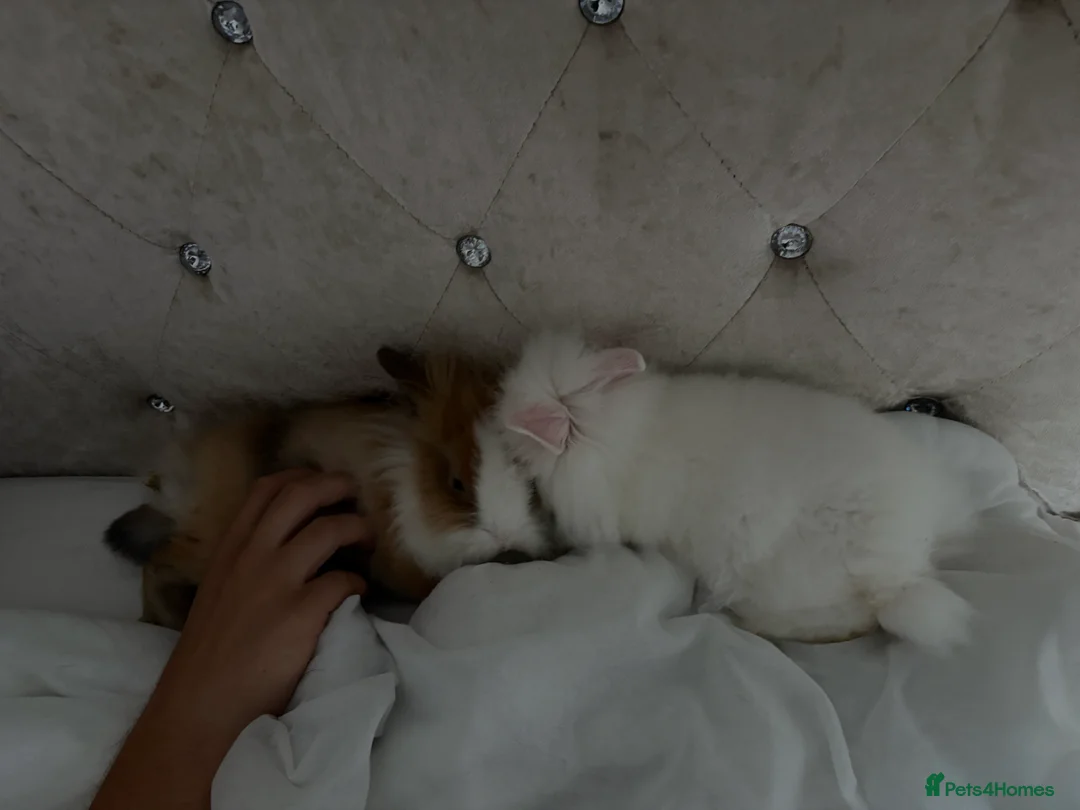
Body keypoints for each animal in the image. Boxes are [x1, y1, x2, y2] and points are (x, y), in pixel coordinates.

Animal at [104, 346, 548, 630]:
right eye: (456, 482)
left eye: (531, 482)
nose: (503, 536)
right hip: (209, 543)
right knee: (157, 563)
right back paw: (163, 621)